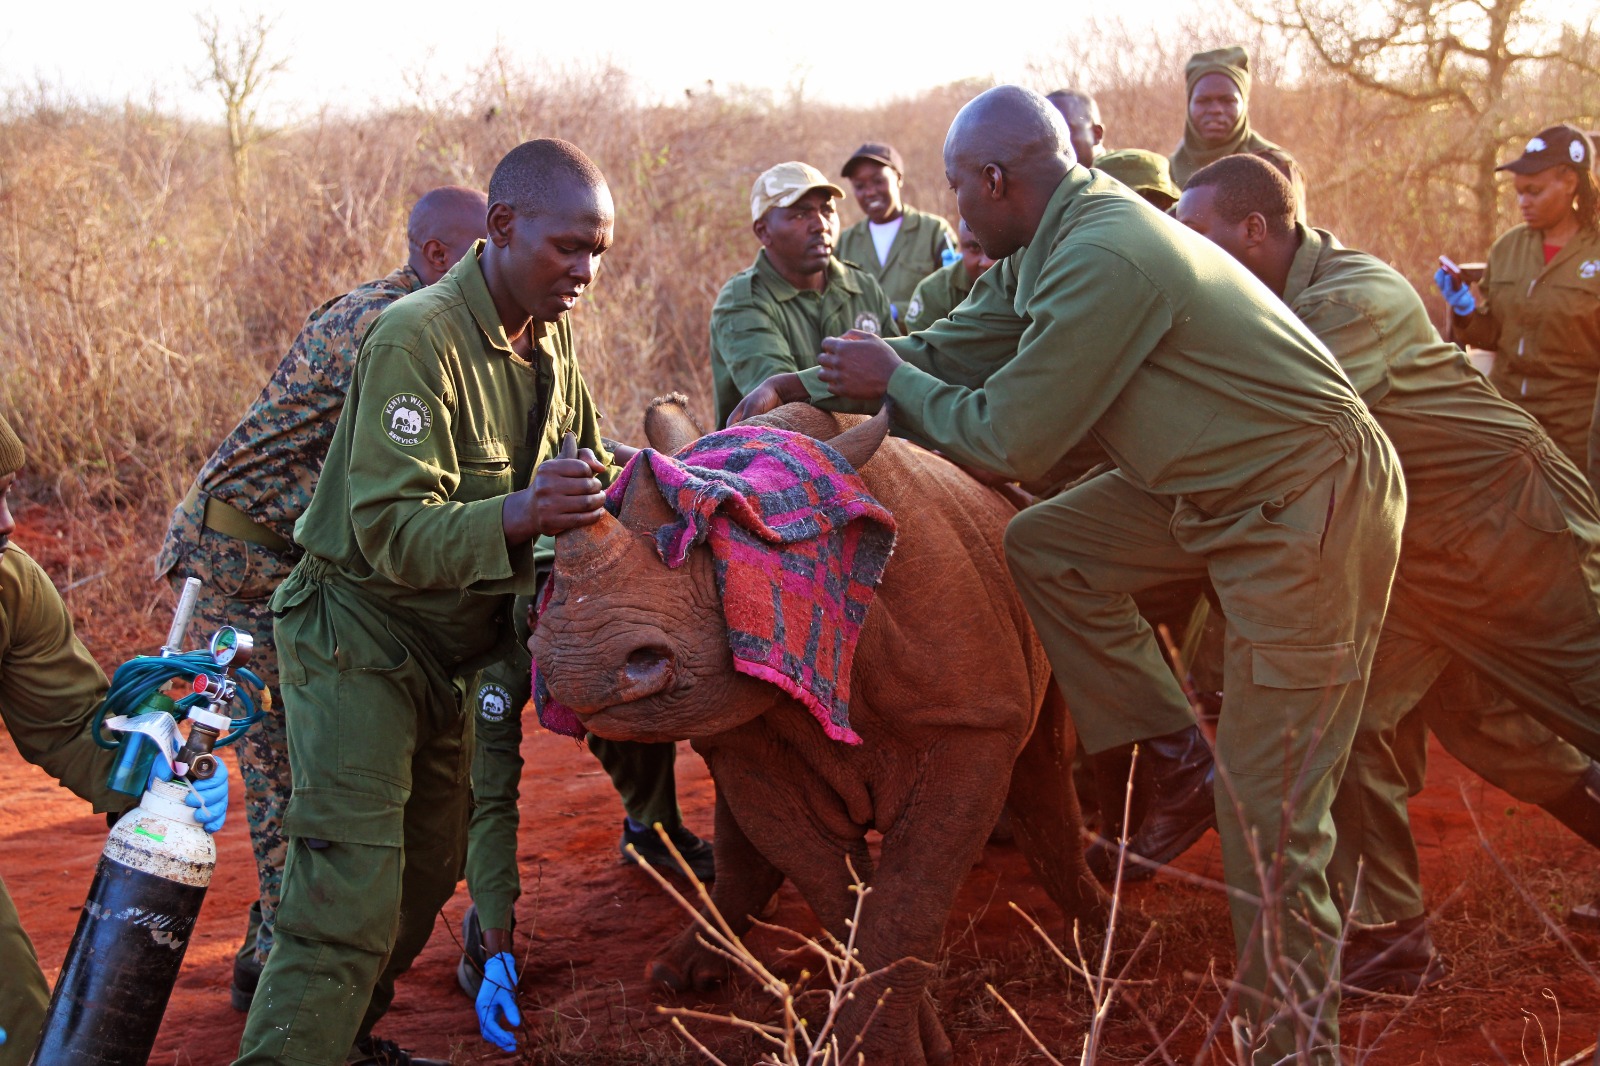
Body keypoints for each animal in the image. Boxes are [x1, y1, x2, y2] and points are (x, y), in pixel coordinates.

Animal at [532, 399, 1101, 1065]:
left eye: (726, 548)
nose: (576, 662)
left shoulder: (970, 727)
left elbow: (908, 901)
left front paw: (890, 1050)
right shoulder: (749, 744)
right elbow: (843, 899)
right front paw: (901, 1044)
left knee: (1045, 765)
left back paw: (1098, 936)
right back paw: (679, 974)